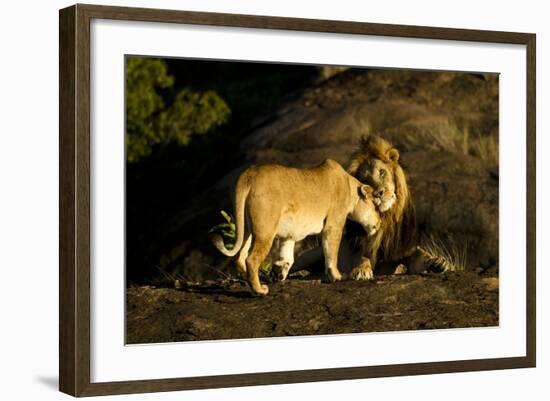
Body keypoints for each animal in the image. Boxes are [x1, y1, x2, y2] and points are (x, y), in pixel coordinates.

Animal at [212, 159, 384, 294]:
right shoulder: (333, 224)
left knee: (239, 256)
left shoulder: (289, 233)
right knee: (251, 259)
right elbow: (331, 252)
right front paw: (337, 276)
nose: (380, 222)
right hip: (265, 229)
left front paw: (279, 272)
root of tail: (248, 175)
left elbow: (287, 256)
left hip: (245, 226)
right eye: (376, 206)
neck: (350, 187)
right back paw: (259, 290)